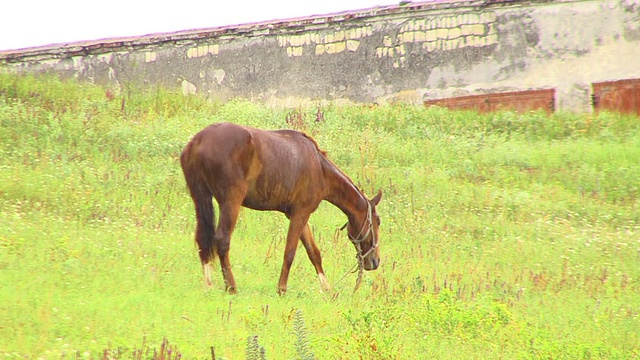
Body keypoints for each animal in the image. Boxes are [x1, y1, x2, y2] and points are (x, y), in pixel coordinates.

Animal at [178, 122, 382, 294]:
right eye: (378, 222)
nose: (375, 261)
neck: (319, 168)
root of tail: (198, 141)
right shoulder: (301, 213)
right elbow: (290, 252)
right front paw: (282, 289)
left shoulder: (297, 214)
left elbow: (313, 252)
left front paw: (326, 288)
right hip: (230, 203)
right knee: (222, 239)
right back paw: (231, 286)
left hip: (200, 197)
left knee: (202, 239)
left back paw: (208, 284)